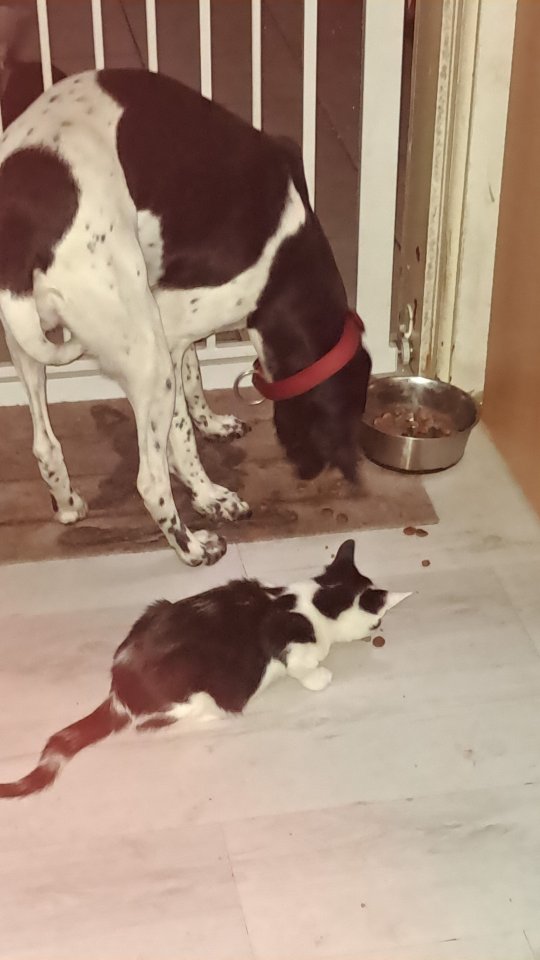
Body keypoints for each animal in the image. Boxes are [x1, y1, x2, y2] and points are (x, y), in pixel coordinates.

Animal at [0, 68, 372, 566]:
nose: (308, 472)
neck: (286, 262)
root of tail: (26, 237)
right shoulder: (173, 329)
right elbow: (180, 436)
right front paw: (207, 494)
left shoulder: (176, 326)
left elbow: (194, 383)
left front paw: (211, 425)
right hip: (148, 357)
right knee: (150, 481)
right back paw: (193, 547)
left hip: (27, 348)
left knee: (45, 444)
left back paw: (68, 506)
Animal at [0, 540, 411, 798]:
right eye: (377, 622)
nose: (378, 631)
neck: (314, 601)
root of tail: (120, 690)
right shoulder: (289, 643)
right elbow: (304, 666)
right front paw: (320, 675)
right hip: (196, 692)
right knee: (152, 725)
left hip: (156, 606)